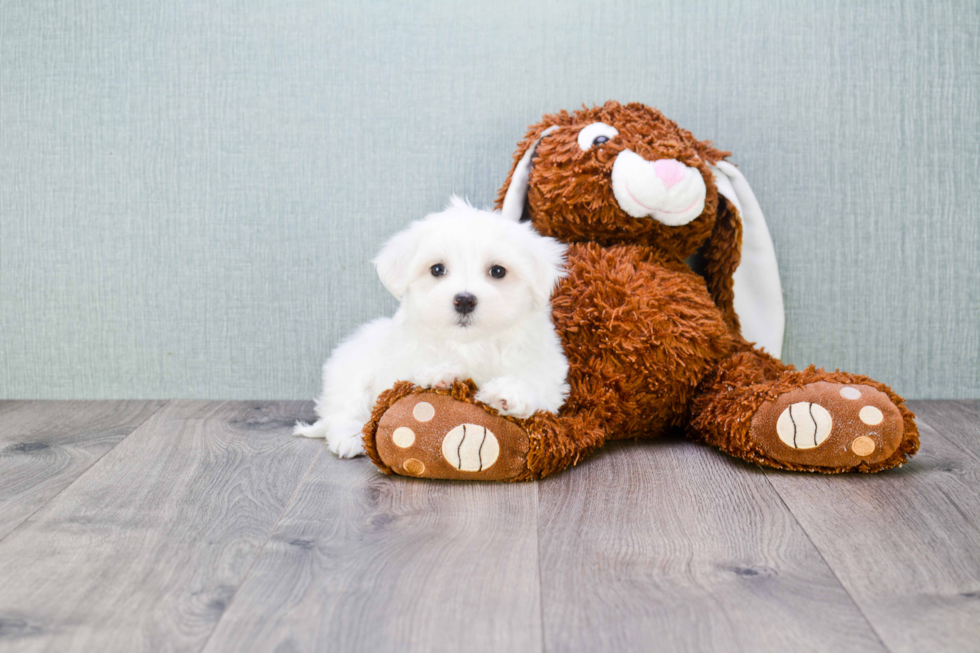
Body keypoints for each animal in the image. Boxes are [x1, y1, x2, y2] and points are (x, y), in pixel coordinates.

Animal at [298, 196, 576, 456]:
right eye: (437, 269)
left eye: (498, 271)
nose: (464, 300)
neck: (470, 343)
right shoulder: (398, 365)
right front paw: (440, 374)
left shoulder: (546, 370)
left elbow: (539, 387)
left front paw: (508, 393)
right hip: (349, 369)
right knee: (343, 409)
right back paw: (350, 438)